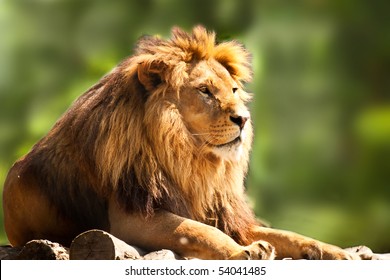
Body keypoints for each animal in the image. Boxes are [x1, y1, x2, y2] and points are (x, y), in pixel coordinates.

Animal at [2, 26, 356, 260]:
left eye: (234, 90)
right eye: (205, 91)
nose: (243, 119)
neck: (190, 159)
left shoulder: (224, 212)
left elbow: (287, 234)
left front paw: (338, 252)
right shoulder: (133, 218)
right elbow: (197, 231)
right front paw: (243, 252)